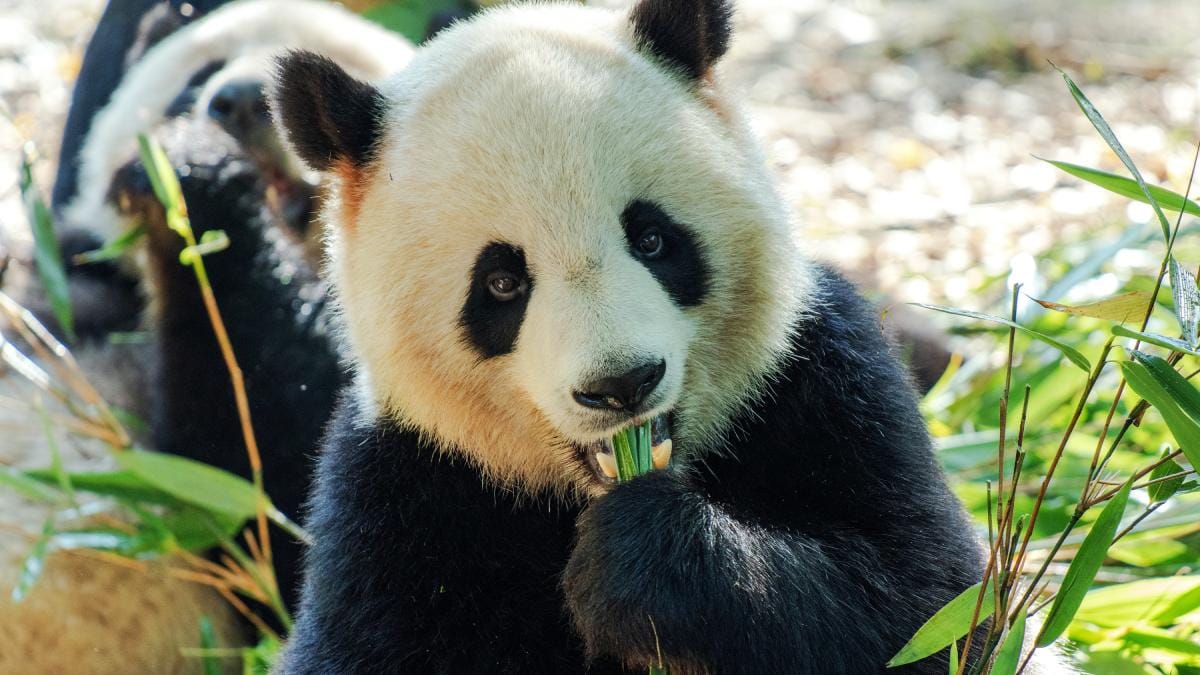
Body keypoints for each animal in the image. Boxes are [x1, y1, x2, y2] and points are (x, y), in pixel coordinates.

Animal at [261, 0, 1063, 673]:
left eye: (651, 238)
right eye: (501, 283)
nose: (621, 385)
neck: (587, 490)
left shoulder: (824, 377)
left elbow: (935, 607)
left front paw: (636, 564)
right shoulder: (404, 483)